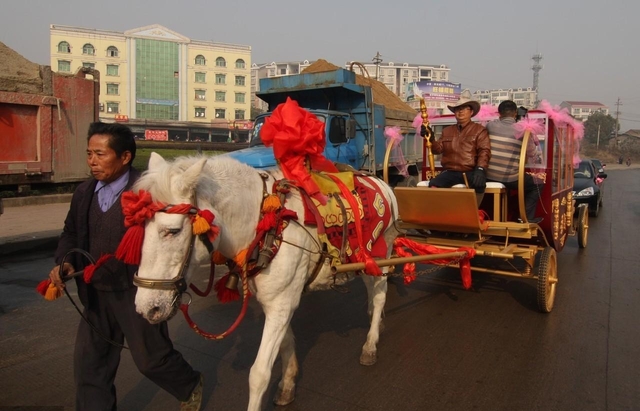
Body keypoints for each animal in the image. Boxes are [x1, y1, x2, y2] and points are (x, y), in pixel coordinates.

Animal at [132, 154, 398, 411]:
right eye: (141, 227)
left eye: (173, 231)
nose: (147, 308)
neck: (265, 224)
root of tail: (382, 184)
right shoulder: (276, 302)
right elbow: (285, 344)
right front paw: (288, 384)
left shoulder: (281, 303)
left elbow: (259, 374)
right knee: (372, 291)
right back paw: (377, 320)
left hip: (380, 252)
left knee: (380, 293)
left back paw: (371, 344)